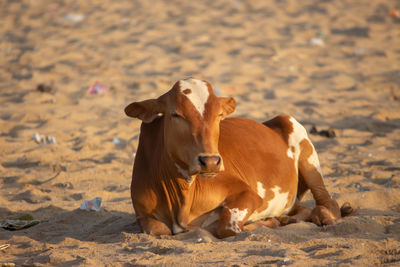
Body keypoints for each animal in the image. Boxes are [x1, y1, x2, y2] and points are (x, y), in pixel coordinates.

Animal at [124, 78, 350, 239]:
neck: (182, 195)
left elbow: (228, 226)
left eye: (218, 115)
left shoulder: (248, 194)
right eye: (176, 114)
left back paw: (323, 216)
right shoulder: (142, 214)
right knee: (301, 209)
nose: (210, 161)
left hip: (308, 157)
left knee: (328, 202)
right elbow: (158, 229)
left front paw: (267, 223)